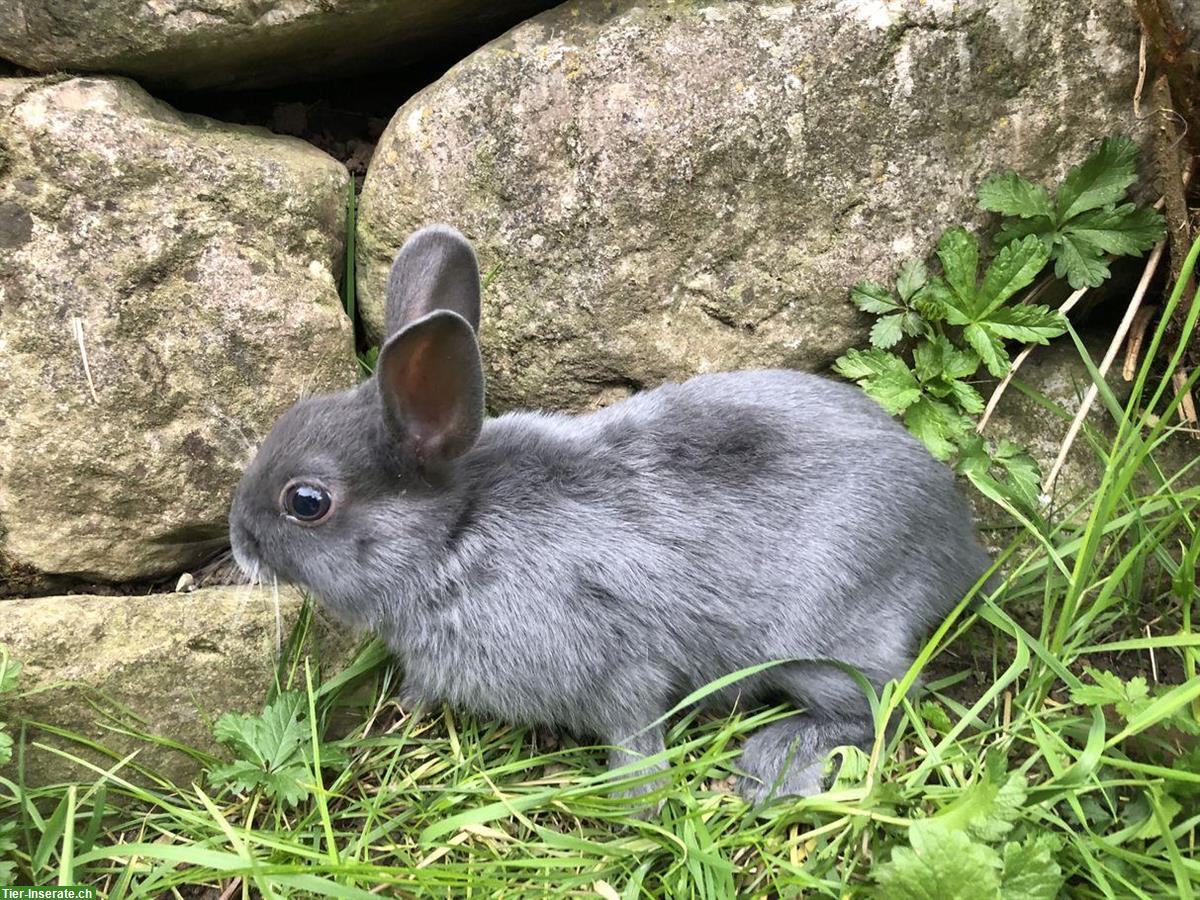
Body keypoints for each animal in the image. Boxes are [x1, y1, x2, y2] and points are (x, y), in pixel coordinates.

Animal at [229, 222, 988, 806]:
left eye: (306, 503)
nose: (237, 541)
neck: (455, 537)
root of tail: (962, 550)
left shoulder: (617, 666)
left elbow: (634, 732)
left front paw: (636, 804)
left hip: (818, 645)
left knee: (886, 703)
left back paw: (774, 763)